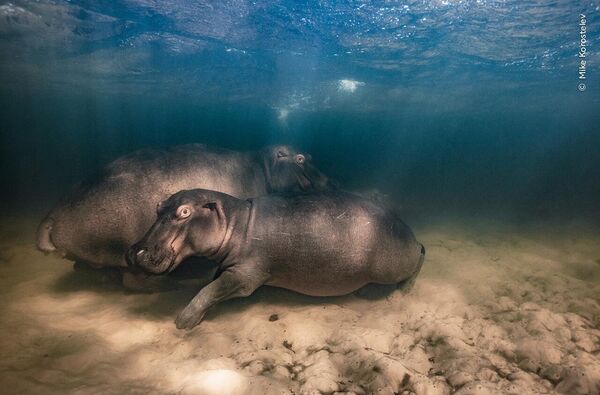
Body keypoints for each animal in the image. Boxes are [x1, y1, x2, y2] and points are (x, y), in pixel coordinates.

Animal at [127, 190, 426, 330]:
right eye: (158, 207)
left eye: (185, 211)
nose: (134, 251)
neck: (235, 222)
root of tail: (407, 229)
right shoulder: (227, 266)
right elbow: (212, 283)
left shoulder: (245, 276)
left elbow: (209, 290)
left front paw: (183, 321)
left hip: (393, 266)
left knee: (420, 255)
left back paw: (403, 291)